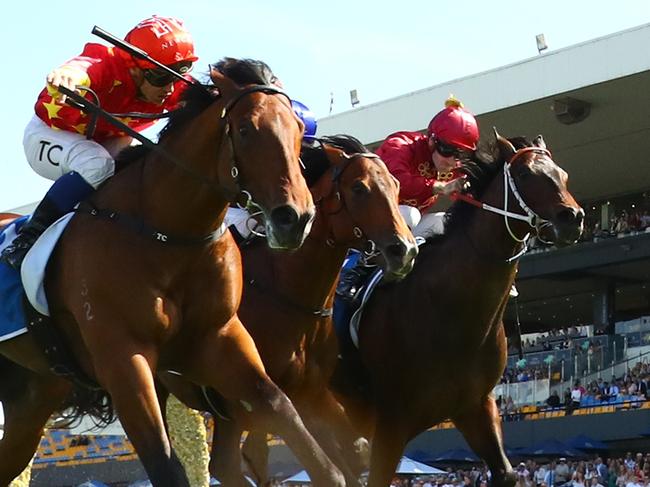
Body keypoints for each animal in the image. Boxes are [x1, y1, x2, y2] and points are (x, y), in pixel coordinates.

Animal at [0, 58, 350, 487]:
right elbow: (164, 462)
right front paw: (64, 80)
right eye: (246, 129)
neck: (166, 232)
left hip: (33, 396)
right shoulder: (123, 357)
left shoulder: (220, 339)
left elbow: (289, 419)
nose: (295, 218)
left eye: (299, 129)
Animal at [159, 134, 418, 487]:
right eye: (359, 188)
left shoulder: (310, 392)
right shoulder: (249, 399)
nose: (403, 250)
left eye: (395, 184)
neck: (284, 293)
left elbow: (357, 449)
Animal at [318, 132, 584, 487]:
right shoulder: (391, 423)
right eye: (526, 173)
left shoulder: (475, 407)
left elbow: (505, 472)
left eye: (563, 174)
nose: (573, 219)